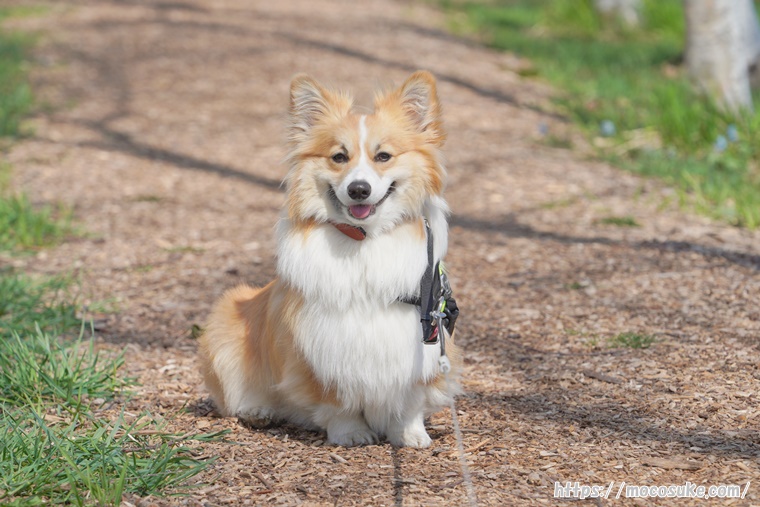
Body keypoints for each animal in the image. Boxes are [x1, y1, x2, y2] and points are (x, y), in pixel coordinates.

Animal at [196, 71, 460, 448]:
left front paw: (411, 433)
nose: (359, 189)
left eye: (383, 156)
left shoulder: (424, 336)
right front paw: (350, 433)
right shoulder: (319, 342)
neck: (365, 240)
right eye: (339, 157)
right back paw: (258, 410)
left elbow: (410, 398)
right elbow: (334, 398)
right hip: (225, 324)